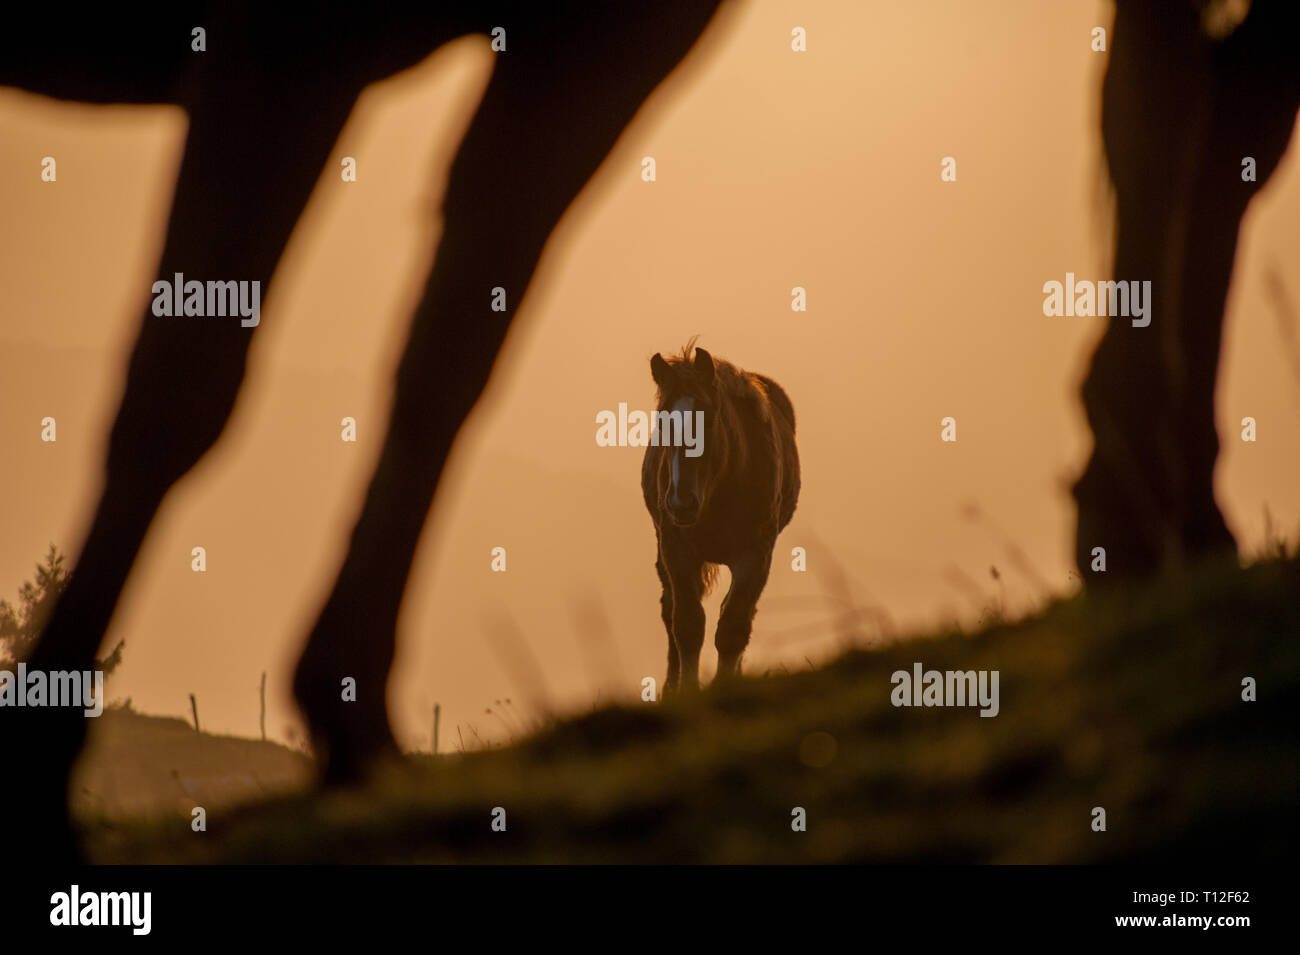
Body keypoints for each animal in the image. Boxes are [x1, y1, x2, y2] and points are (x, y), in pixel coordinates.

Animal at [641, 343, 800, 692]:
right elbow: (687, 625)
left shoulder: (755, 555)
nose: (681, 503)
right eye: (662, 423)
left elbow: (733, 626)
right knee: (669, 610)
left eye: (709, 421)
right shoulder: (678, 550)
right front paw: (685, 692)